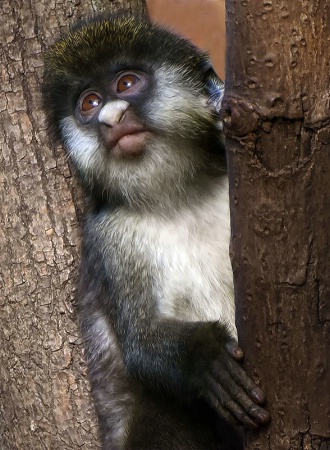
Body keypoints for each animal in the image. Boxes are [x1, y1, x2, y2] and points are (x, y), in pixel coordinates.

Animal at [42, 10, 270, 450]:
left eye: (126, 84)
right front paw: (207, 357)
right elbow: (142, 343)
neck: (176, 197)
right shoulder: (110, 237)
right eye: (89, 104)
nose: (110, 118)